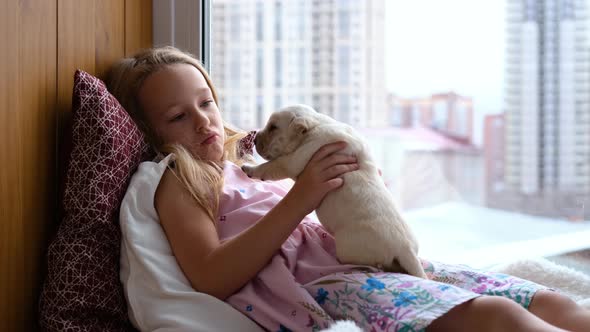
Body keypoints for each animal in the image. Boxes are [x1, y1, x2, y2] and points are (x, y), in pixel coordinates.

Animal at [243, 104, 428, 278]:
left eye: (273, 127)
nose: (254, 139)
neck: (315, 125)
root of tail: (405, 248)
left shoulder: (294, 159)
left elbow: (270, 166)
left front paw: (250, 169)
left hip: (349, 249)